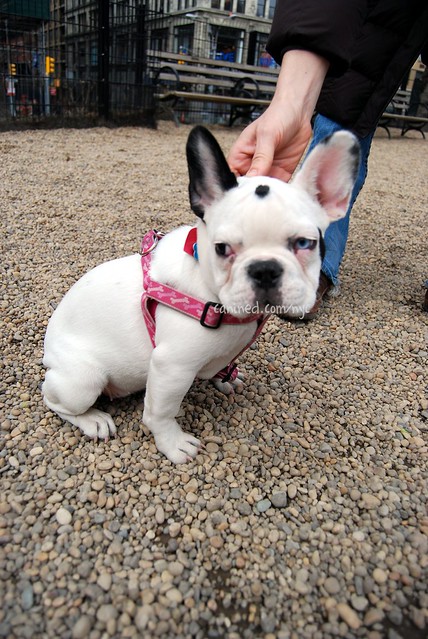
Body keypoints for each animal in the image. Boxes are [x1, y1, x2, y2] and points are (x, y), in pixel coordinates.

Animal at [42, 126, 358, 464]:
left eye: (304, 243)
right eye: (222, 248)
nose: (264, 269)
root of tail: (49, 354)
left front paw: (226, 377)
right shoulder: (172, 367)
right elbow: (160, 413)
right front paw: (172, 443)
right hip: (84, 380)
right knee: (54, 400)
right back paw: (93, 420)